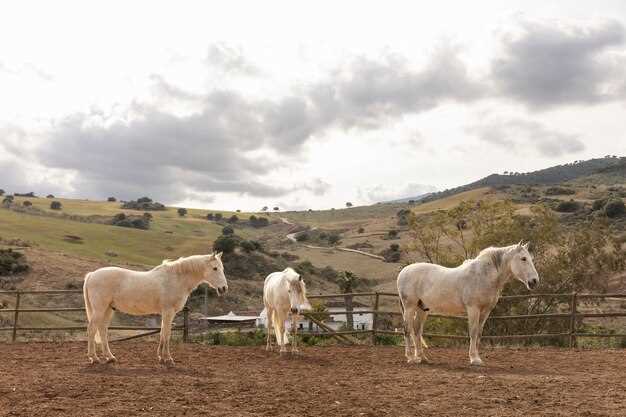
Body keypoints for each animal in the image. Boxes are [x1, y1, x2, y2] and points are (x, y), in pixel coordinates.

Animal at [83, 250, 227, 364]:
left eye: (222, 268)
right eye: (215, 268)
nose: (224, 288)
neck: (176, 278)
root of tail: (91, 274)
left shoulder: (167, 313)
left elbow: (163, 333)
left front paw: (160, 357)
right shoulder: (168, 311)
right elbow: (167, 334)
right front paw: (168, 358)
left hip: (108, 309)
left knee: (102, 330)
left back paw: (110, 357)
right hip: (100, 309)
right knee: (92, 329)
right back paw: (94, 358)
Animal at [398, 240, 540, 364]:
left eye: (530, 258)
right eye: (523, 258)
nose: (534, 281)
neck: (484, 275)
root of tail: (403, 271)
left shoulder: (485, 311)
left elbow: (479, 333)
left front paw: (478, 357)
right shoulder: (473, 309)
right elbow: (473, 332)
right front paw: (474, 359)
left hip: (422, 308)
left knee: (417, 330)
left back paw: (422, 358)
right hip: (410, 307)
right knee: (407, 329)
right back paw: (411, 358)